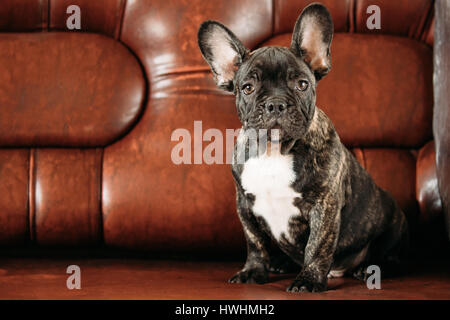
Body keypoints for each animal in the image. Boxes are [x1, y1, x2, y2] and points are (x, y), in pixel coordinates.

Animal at [197, 2, 408, 292]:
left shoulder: (324, 205)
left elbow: (317, 245)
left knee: (391, 257)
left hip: (392, 222)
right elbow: (255, 242)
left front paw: (308, 280)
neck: (274, 151)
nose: (275, 103)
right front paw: (253, 271)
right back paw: (282, 263)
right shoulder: (245, 205)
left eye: (302, 84)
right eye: (248, 88)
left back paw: (368, 268)